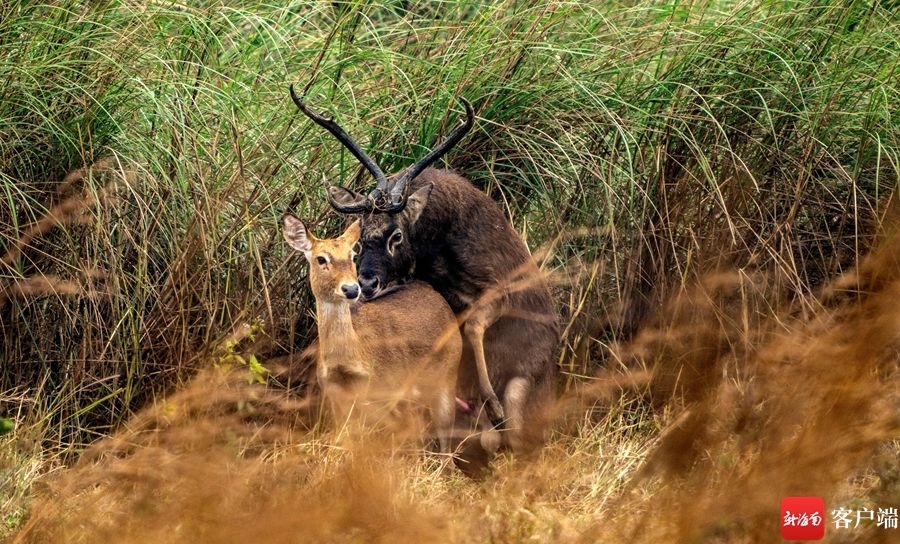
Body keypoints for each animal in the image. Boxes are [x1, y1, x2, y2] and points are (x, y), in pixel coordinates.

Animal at [284, 215, 464, 452]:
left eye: (353, 255)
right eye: (321, 259)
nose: (352, 289)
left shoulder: (387, 391)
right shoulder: (334, 394)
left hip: (447, 375)